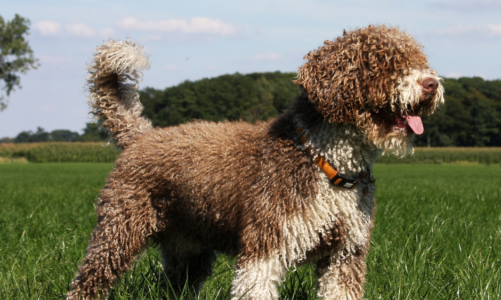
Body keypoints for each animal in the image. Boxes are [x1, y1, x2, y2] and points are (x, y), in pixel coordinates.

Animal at [67, 24, 446, 298]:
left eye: (418, 59)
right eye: (386, 63)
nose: (432, 84)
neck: (325, 161)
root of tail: (141, 135)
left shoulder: (345, 254)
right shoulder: (266, 247)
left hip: (188, 248)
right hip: (118, 233)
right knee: (87, 281)